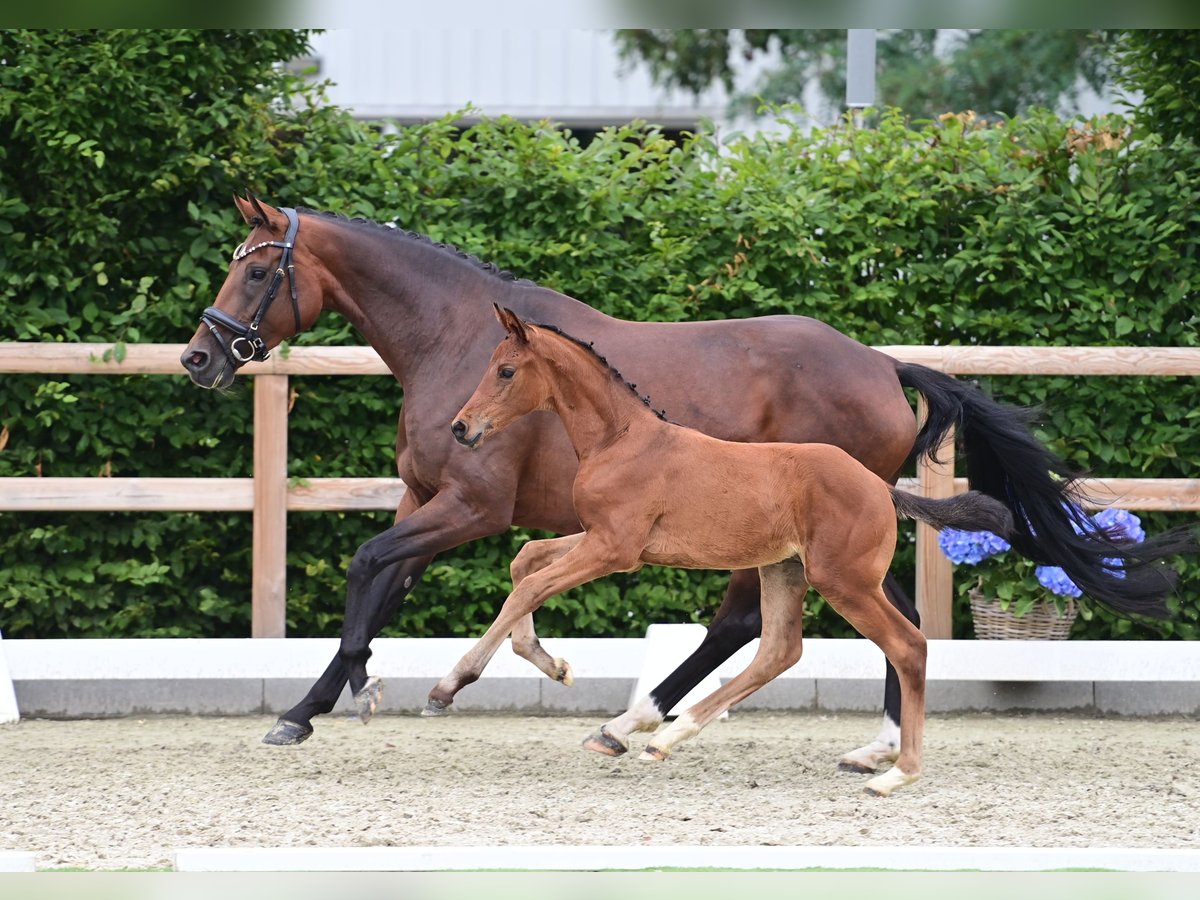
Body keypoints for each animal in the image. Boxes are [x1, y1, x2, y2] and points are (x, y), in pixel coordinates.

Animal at [444, 309, 1012, 796]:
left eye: (506, 370)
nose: (461, 428)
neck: (621, 440)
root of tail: (881, 487)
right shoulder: (602, 538)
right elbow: (526, 559)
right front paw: (555, 666)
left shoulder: (613, 549)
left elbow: (530, 585)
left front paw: (450, 685)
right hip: (784, 569)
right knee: (780, 650)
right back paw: (663, 738)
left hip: (842, 580)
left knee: (907, 645)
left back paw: (895, 774)